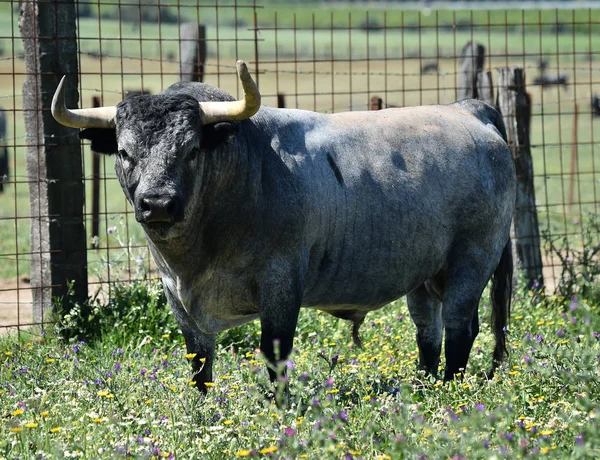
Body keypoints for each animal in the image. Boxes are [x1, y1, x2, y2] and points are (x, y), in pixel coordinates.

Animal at [51, 60, 516, 392]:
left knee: (460, 329)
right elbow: (200, 364)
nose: (157, 204)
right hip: (423, 273)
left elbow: (275, 355)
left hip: (472, 261)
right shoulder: (176, 298)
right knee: (428, 333)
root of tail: (467, 111)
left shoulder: (281, 285)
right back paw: (423, 388)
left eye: (192, 149)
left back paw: (450, 394)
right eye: (124, 152)